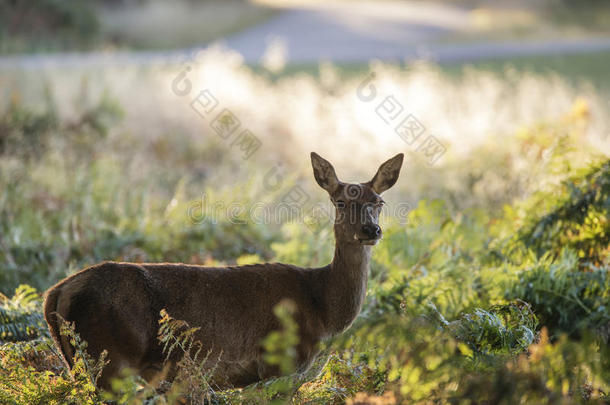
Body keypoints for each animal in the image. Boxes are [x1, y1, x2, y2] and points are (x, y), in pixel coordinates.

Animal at [44, 151, 404, 388]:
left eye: (379, 202)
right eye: (340, 201)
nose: (370, 230)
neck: (321, 311)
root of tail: (55, 294)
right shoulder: (278, 365)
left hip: (79, 361)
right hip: (111, 356)